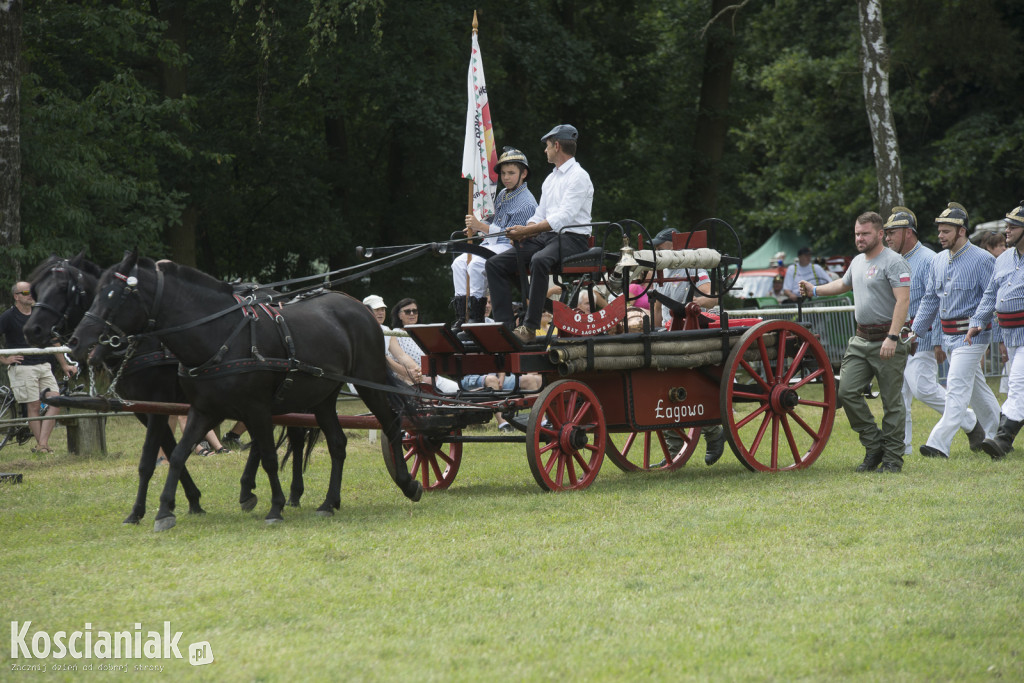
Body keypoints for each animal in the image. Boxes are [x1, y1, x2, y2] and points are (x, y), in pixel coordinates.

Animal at [24, 253, 309, 528]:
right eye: (35, 289)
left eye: (63, 287)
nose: (31, 330)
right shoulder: (145, 408)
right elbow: (171, 450)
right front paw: (191, 501)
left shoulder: (158, 403)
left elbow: (149, 459)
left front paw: (141, 511)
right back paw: (257, 491)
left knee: (289, 435)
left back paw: (284, 493)